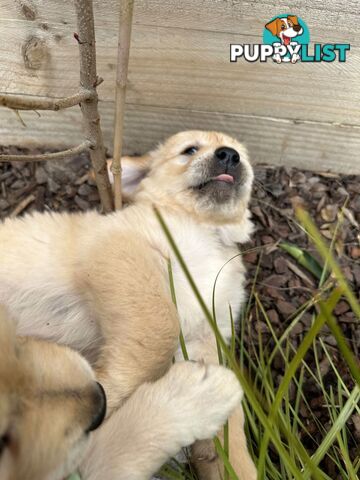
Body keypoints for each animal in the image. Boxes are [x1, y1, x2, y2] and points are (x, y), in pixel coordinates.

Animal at [0, 131, 258, 480]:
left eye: (243, 156)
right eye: (190, 150)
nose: (230, 155)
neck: (206, 230)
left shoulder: (206, 337)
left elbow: (231, 426)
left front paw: (236, 466)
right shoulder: (124, 247)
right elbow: (160, 327)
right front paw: (114, 390)